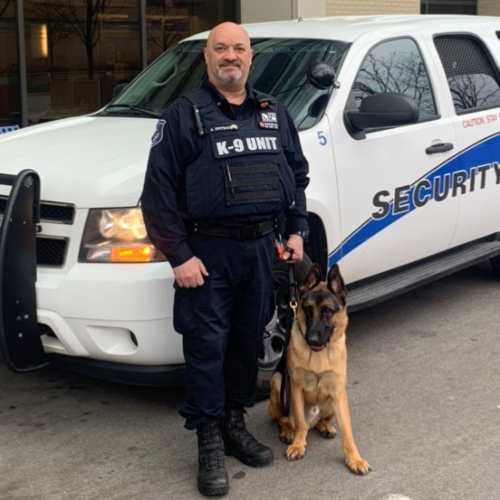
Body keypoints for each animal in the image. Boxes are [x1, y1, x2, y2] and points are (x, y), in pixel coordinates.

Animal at [270, 264, 372, 474]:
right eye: (308, 310)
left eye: (327, 311)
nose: (312, 340)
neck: (318, 355)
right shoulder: (295, 388)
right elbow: (299, 423)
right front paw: (298, 445)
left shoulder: (338, 392)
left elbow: (347, 431)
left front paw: (354, 458)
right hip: (278, 383)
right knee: (283, 420)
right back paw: (288, 432)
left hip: (333, 403)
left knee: (320, 421)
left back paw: (325, 427)